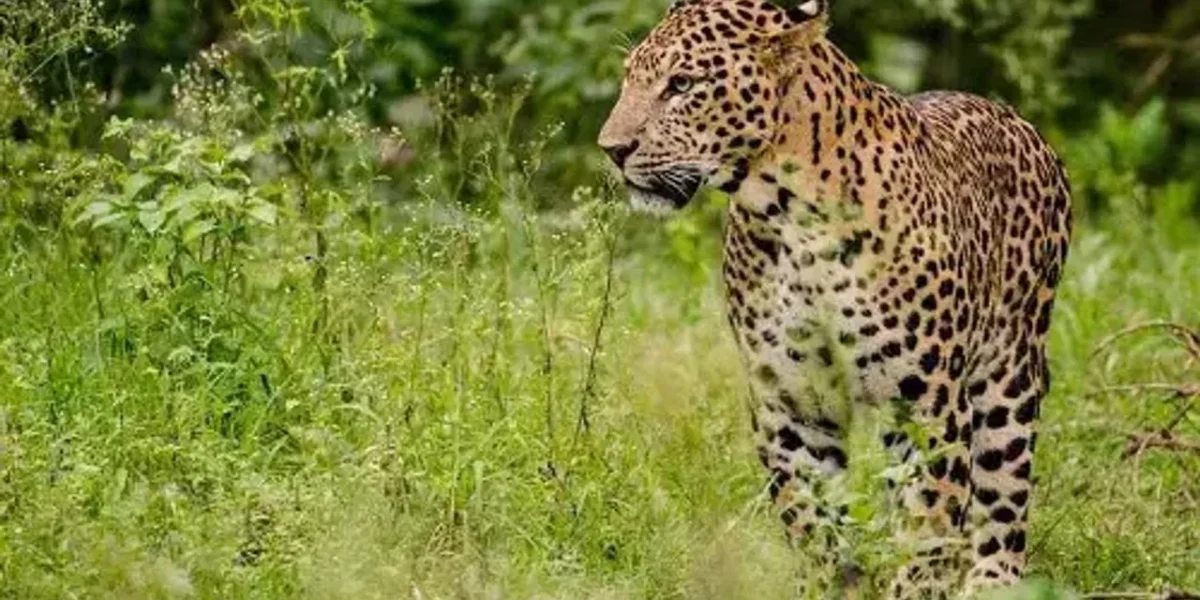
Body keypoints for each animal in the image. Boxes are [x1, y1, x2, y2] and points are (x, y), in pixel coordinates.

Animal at [597, 0, 1072, 597]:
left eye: (681, 85)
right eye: (629, 78)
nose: (612, 150)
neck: (789, 215)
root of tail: (1016, 118)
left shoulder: (927, 405)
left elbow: (927, 526)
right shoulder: (792, 404)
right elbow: (813, 520)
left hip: (1009, 373)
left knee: (1002, 500)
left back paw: (992, 579)